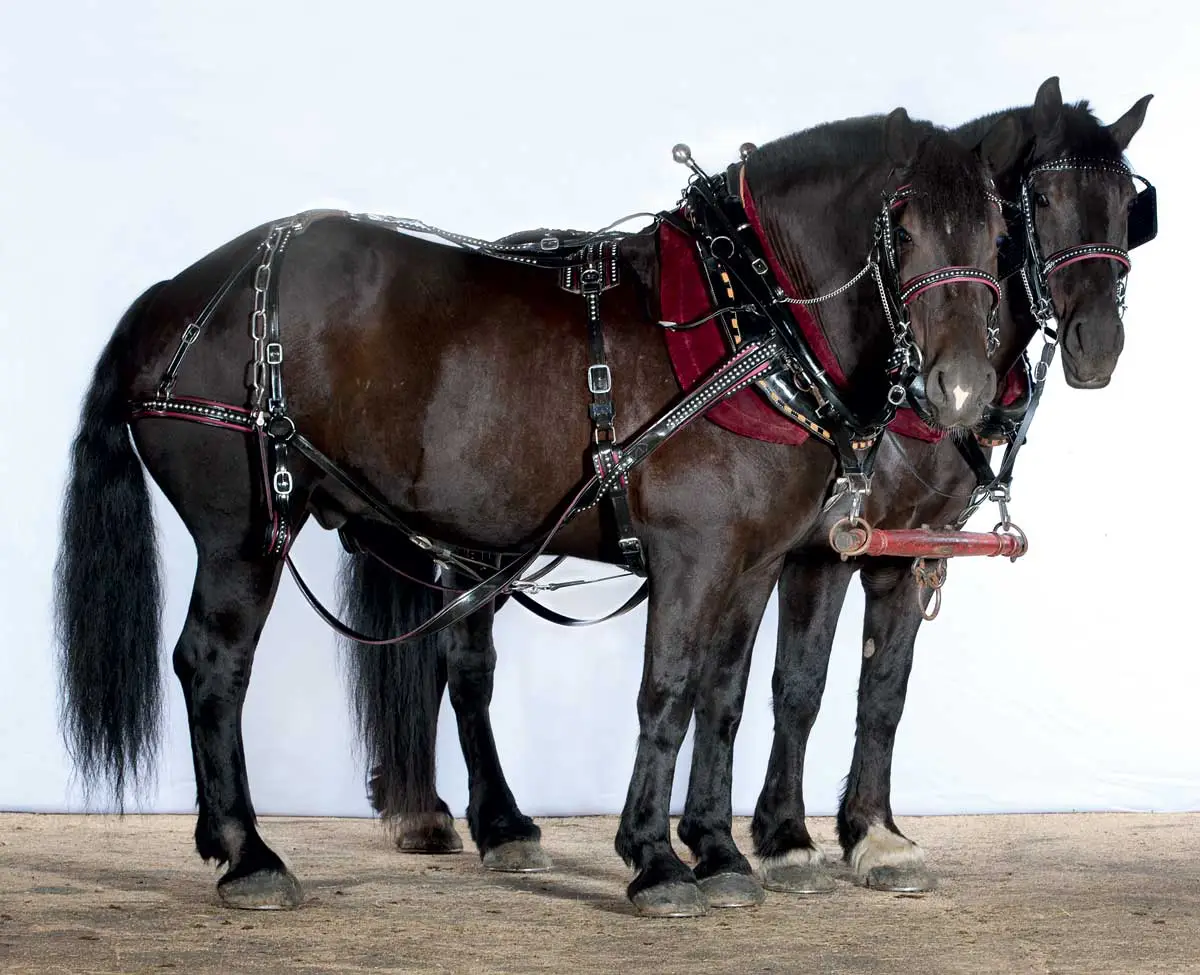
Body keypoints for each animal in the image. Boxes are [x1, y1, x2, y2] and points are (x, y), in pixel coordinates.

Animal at [54, 105, 1020, 918]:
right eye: (903, 225)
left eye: (997, 232)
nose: (960, 389)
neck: (744, 314)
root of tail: (182, 292)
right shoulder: (694, 556)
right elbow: (668, 692)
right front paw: (655, 859)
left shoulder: (753, 564)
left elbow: (725, 698)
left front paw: (718, 851)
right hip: (245, 533)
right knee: (213, 665)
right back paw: (249, 853)